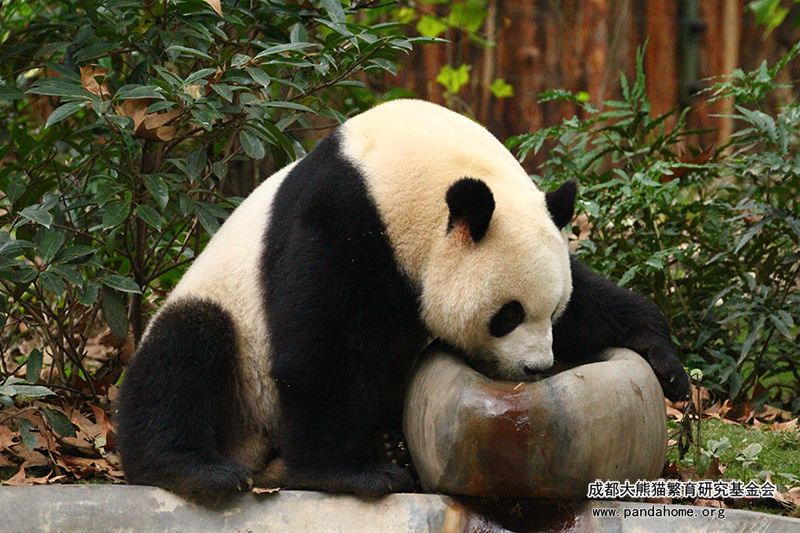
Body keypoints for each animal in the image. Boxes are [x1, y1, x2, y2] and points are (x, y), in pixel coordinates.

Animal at [117, 99, 689, 496]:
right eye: (507, 315)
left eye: (551, 311)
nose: (536, 368)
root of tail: (256, 449)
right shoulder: (340, 218)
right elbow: (319, 344)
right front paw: (351, 473)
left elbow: (592, 301)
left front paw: (665, 362)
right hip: (233, 341)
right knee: (184, 350)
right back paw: (198, 469)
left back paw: (390, 443)